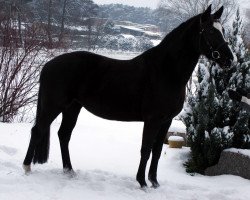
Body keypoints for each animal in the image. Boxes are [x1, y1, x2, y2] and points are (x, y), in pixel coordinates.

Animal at [22, 5, 233, 188]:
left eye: (222, 30)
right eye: (210, 31)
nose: (229, 59)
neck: (165, 71)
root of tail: (49, 64)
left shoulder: (166, 121)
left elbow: (157, 151)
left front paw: (155, 183)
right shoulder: (152, 120)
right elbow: (146, 150)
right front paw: (142, 183)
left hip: (72, 108)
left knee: (63, 135)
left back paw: (69, 171)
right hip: (53, 106)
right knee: (37, 131)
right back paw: (27, 168)